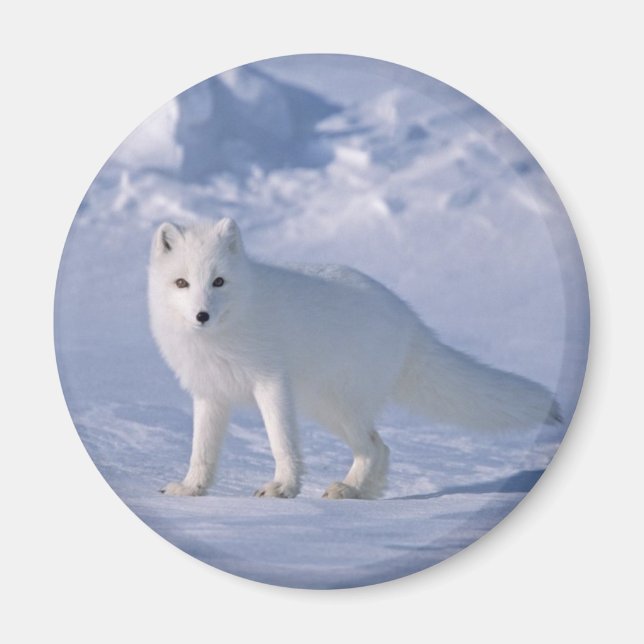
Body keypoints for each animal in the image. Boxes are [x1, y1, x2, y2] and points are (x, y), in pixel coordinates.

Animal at [148, 217, 561, 499]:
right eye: (182, 283)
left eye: (218, 281)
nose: (202, 315)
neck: (223, 333)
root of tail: (409, 319)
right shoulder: (209, 393)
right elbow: (201, 450)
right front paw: (191, 488)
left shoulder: (271, 383)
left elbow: (282, 442)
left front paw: (283, 487)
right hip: (326, 407)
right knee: (381, 447)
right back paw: (360, 492)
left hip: (337, 404)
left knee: (376, 447)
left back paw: (350, 490)